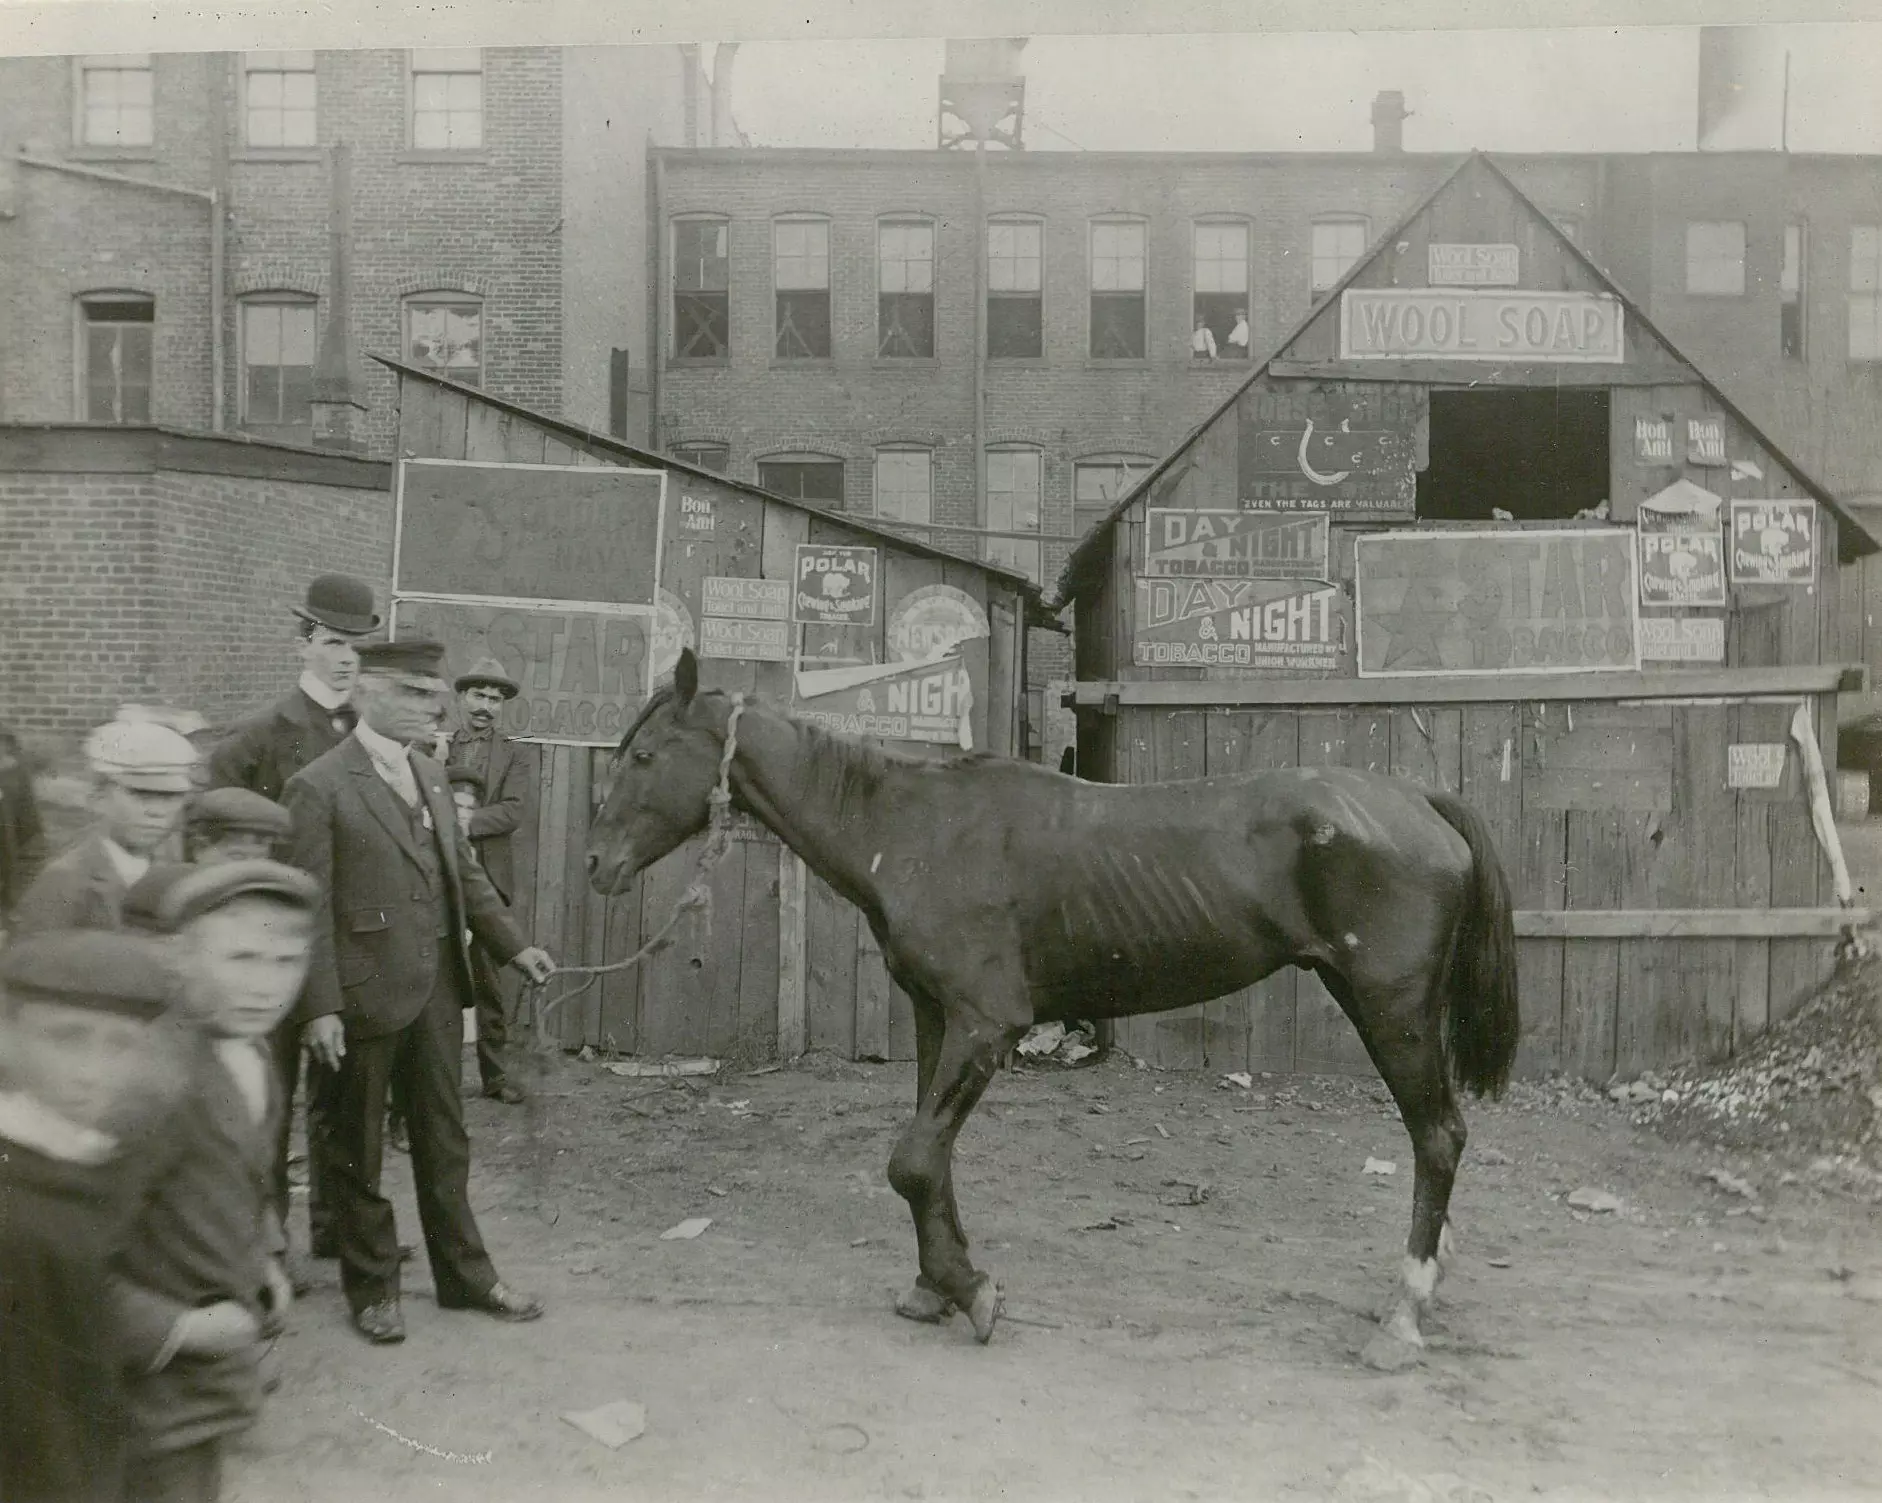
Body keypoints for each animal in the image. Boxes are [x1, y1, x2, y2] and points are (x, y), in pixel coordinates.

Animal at [579, 647, 1520, 1361]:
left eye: (644, 756)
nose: (595, 864)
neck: (914, 827)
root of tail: (1417, 799)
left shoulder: (987, 1023)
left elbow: (911, 1160)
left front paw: (974, 1291)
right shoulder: (937, 1017)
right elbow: (932, 1159)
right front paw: (933, 1285)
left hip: (1391, 1010)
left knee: (1440, 1138)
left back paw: (1403, 1315)